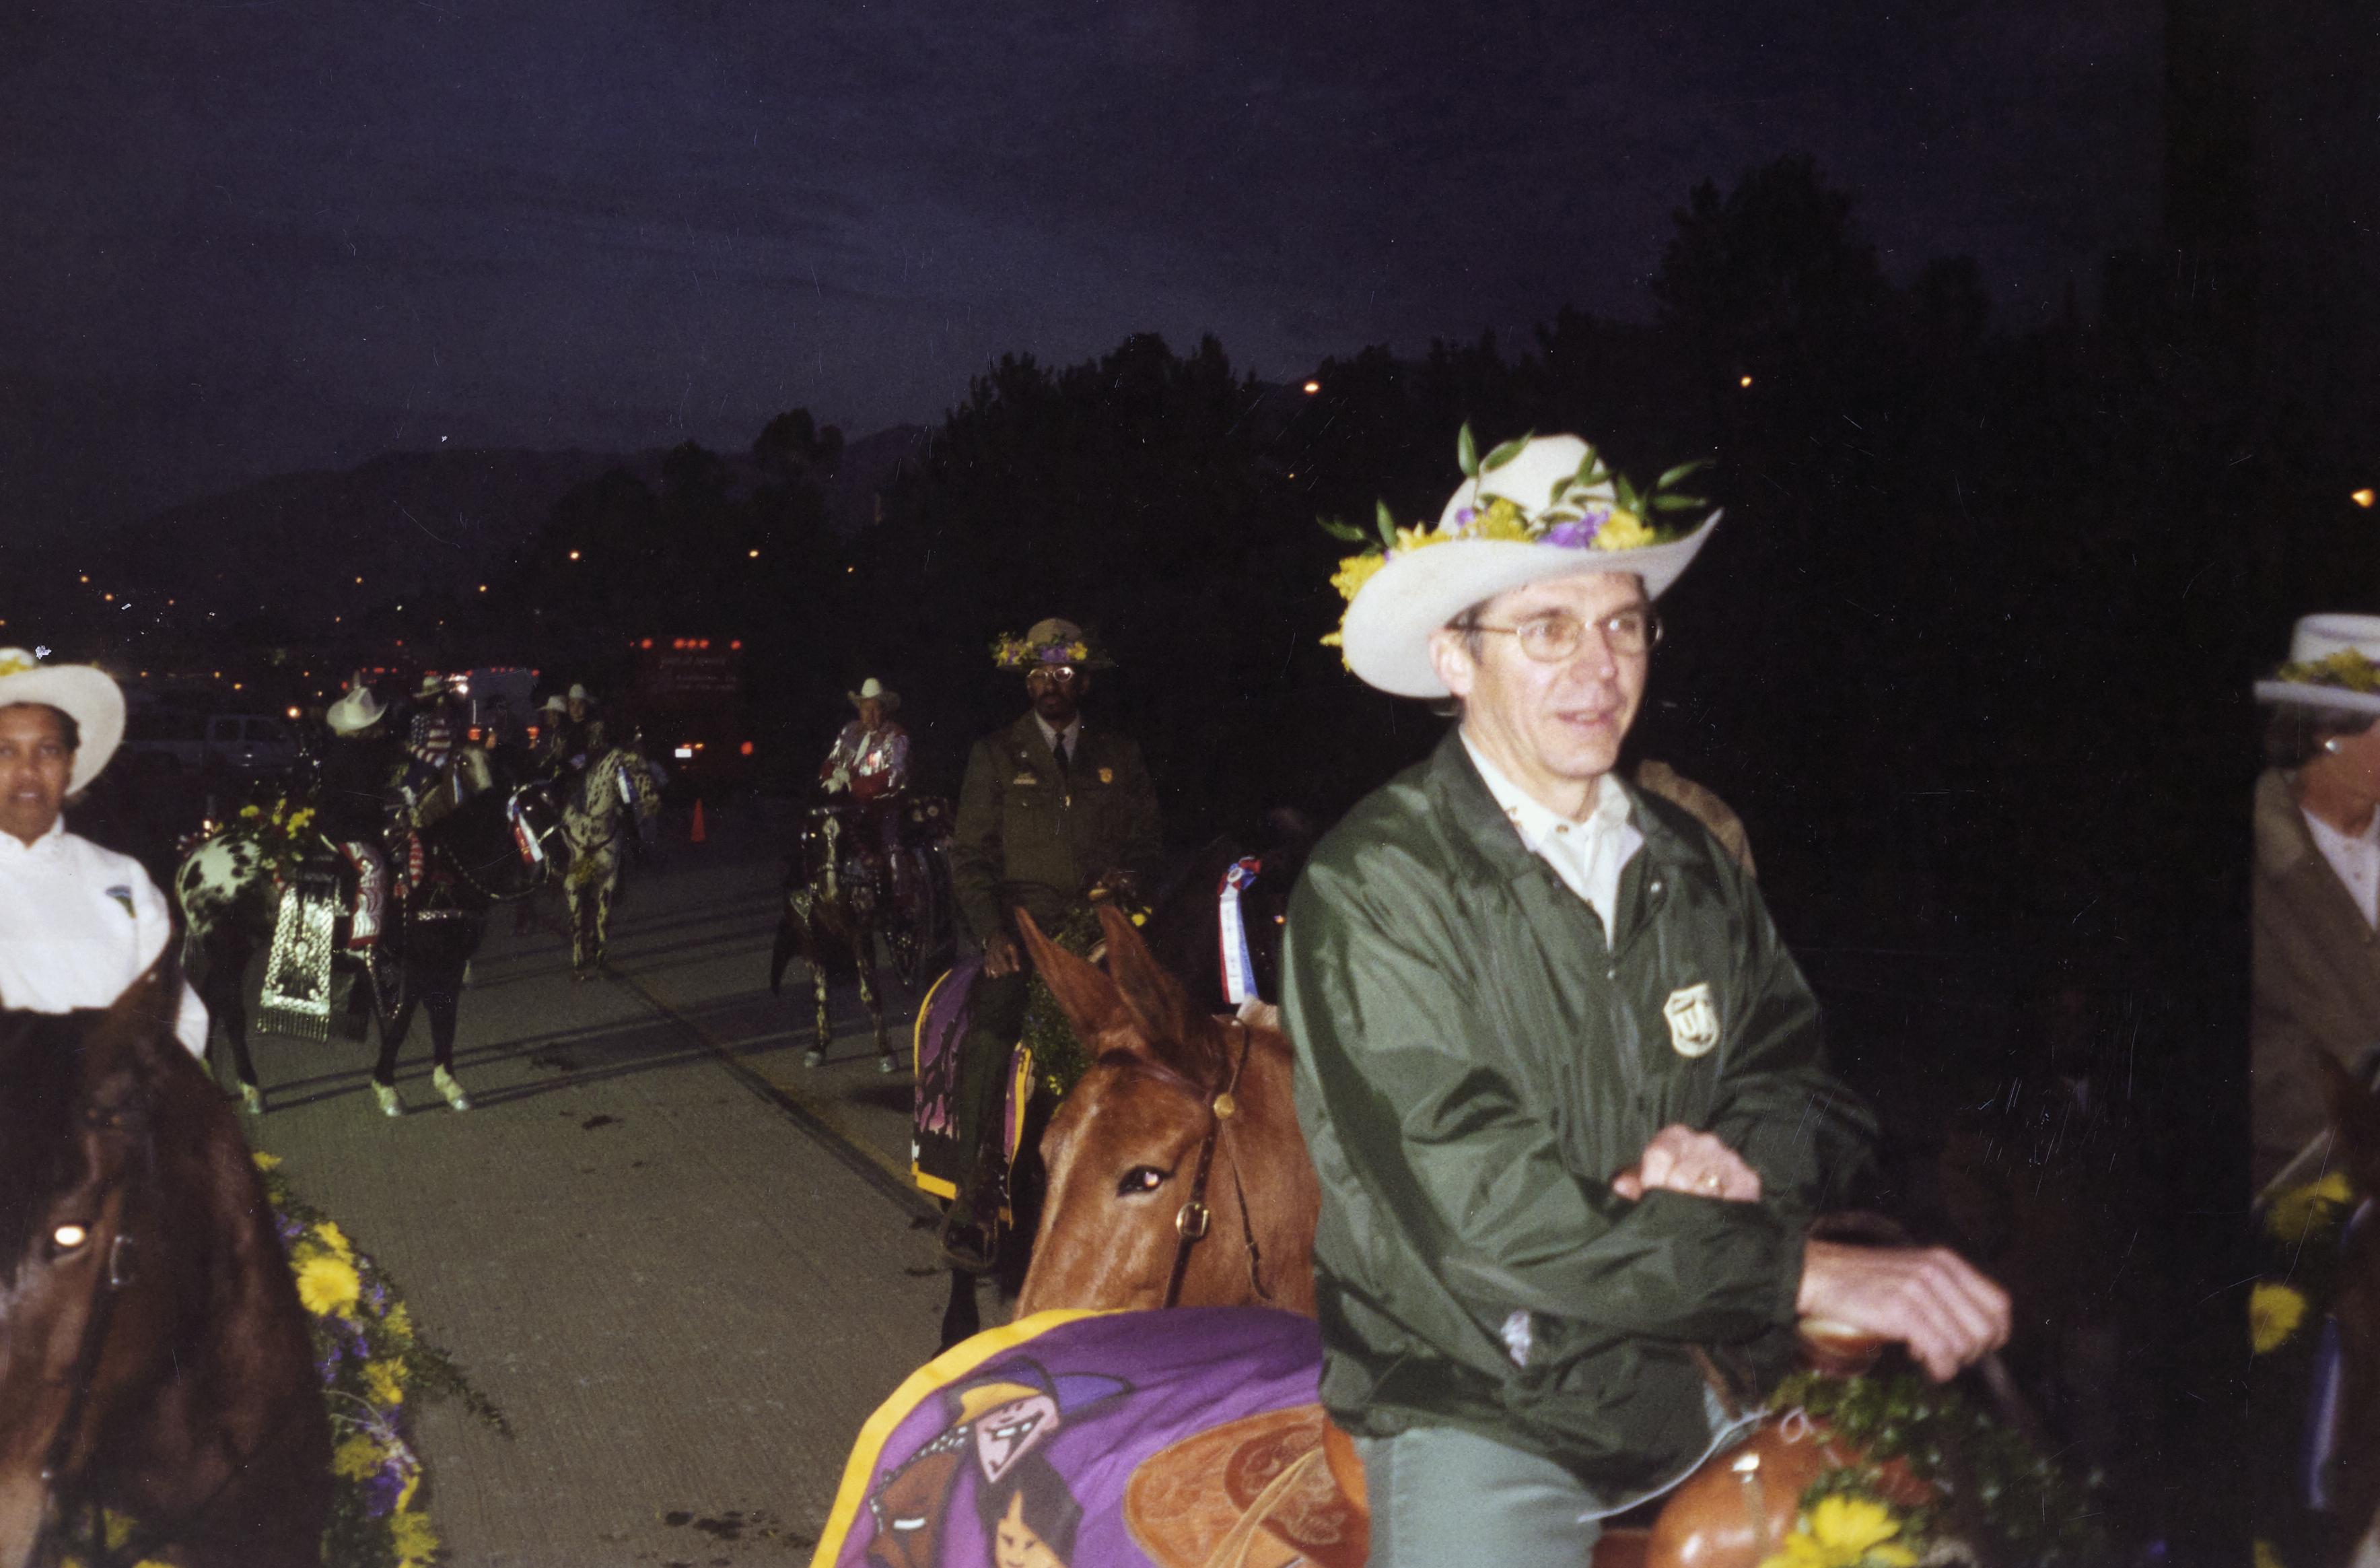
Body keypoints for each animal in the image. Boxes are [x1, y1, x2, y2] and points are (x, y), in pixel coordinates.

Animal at [556, 742, 663, 978]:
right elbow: (578, 918)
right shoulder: (571, 881)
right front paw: (579, 961)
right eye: (634, 770)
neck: (591, 825)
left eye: (649, 768)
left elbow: (602, 918)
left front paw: (600, 958)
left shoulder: (608, 877)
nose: (655, 802)